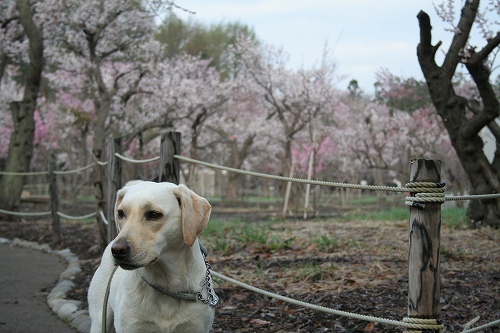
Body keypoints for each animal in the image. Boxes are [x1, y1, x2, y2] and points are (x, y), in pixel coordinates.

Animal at [89, 180, 218, 330]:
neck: (168, 283)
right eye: (120, 213)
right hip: (99, 320)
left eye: (153, 214)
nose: (116, 251)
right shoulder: (130, 326)